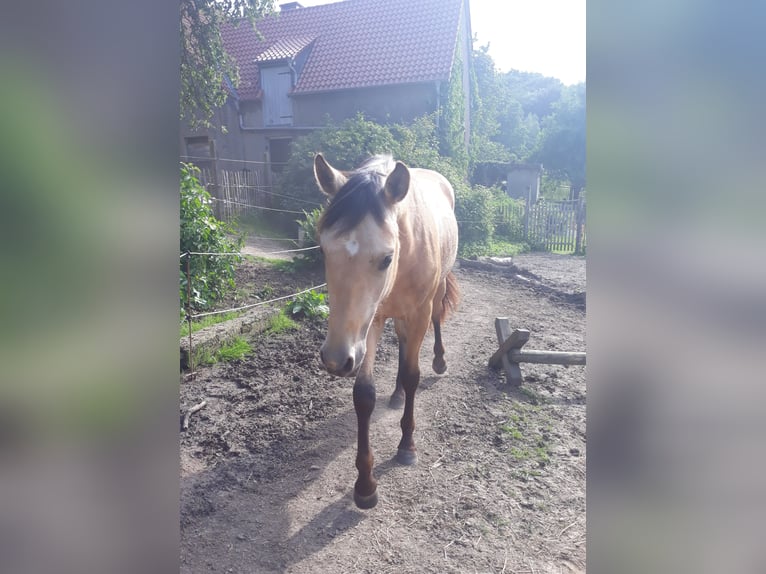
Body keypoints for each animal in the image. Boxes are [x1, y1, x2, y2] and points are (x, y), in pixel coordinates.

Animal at [313, 153, 460, 509]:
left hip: (432, 298)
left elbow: (412, 374)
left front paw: (407, 446)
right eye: (323, 250)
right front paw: (365, 484)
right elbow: (364, 394)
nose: (335, 359)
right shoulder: (369, 322)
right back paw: (395, 395)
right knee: (404, 344)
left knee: (434, 324)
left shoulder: (418, 313)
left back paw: (439, 361)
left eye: (386, 257)